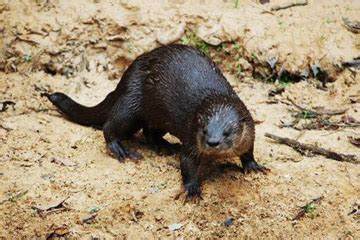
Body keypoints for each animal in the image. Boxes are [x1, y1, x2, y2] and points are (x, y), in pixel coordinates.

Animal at [47, 44, 268, 200]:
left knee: (149, 132)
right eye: (204, 130)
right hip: (130, 105)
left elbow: (248, 151)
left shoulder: (250, 132)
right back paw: (121, 150)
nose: (212, 142)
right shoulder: (191, 137)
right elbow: (187, 163)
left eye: (227, 132)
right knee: (111, 126)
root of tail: (126, 75)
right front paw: (192, 190)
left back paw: (165, 146)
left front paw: (254, 166)